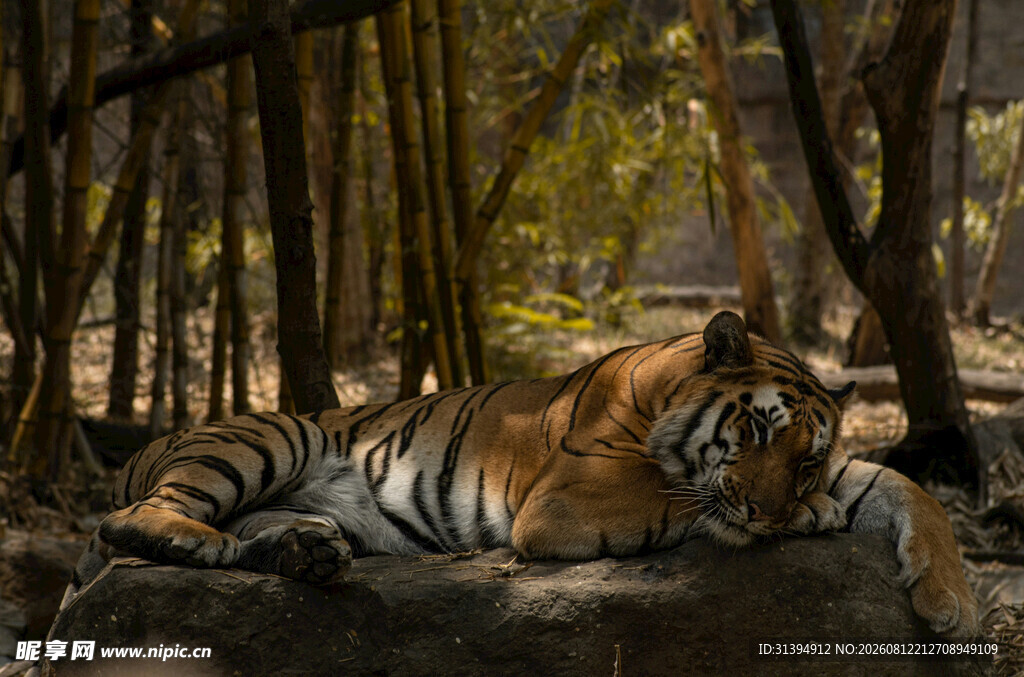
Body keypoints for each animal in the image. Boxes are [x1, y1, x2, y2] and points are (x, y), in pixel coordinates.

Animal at [59, 311, 980, 637]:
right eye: (754, 427)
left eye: (807, 454)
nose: (770, 511)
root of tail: (141, 448)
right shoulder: (568, 498)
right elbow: (679, 493)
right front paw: (811, 518)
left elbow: (911, 490)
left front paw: (950, 603)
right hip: (269, 434)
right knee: (130, 520)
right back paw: (213, 541)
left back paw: (305, 551)